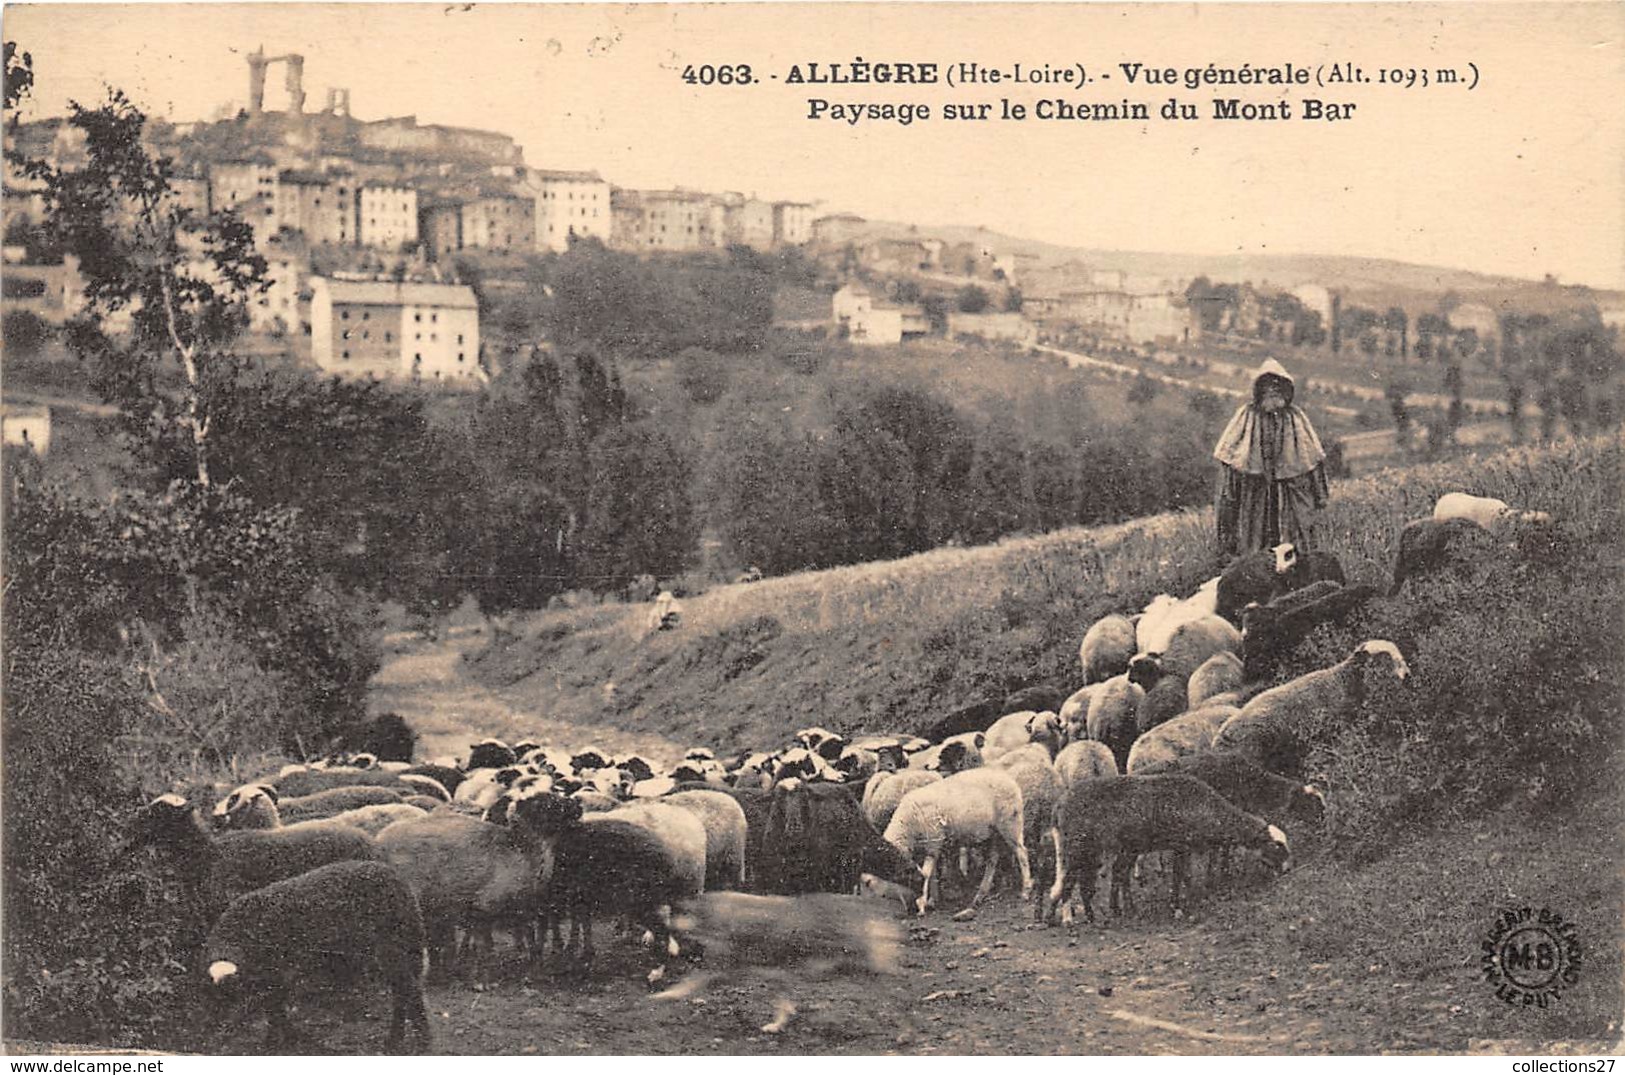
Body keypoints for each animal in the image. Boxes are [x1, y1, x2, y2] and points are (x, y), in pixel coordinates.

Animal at [650, 889, 903, 1039]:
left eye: (680, 912)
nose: (664, 923)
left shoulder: (719, 968)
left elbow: (686, 984)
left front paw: (662, 995)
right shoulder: (775, 974)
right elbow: (782, 1002)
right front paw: (779, 1023)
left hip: (869, 970)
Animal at [884, 766, 1033, 915]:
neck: (907, 826)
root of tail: (1009, 779)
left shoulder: (933, 841)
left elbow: (926, 873)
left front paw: (922, 904)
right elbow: (932, 873)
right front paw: (932, 900)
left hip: (1010, 823)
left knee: (1021, 853)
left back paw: (1026, 890)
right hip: (993, 833)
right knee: (992, 859)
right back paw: (981, 894)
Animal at [1040, 776, 1293, 928]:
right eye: (1277, 845)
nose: (1287, 869)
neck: (1209, 809)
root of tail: (1059, 806)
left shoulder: (1183, 847)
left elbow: (1185, 875)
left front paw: (1190, 900)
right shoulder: (1180, 845)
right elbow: (1179, 876)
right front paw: (1179, 907)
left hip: (1090, 850)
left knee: (1078, 880)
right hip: (1076, 847)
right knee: (1068, 880)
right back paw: (1066, 918)